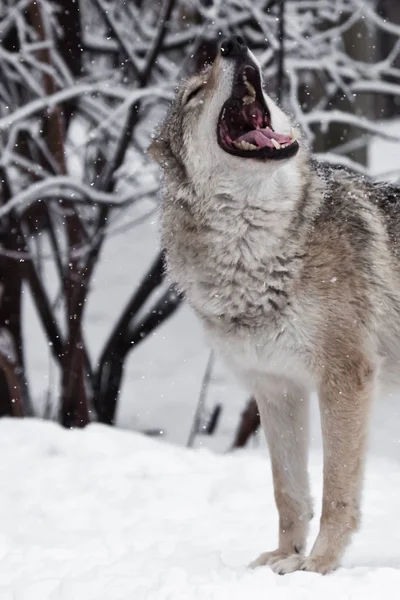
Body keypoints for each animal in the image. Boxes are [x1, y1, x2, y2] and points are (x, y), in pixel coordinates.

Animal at [148, 34, 400, 576]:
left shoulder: (344, 379)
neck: (256, 248)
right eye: (194, 92)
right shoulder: (275, 388)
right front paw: (284, 558)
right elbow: (289, 493)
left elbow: (336, 490)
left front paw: (319, 566)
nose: (233, 42)